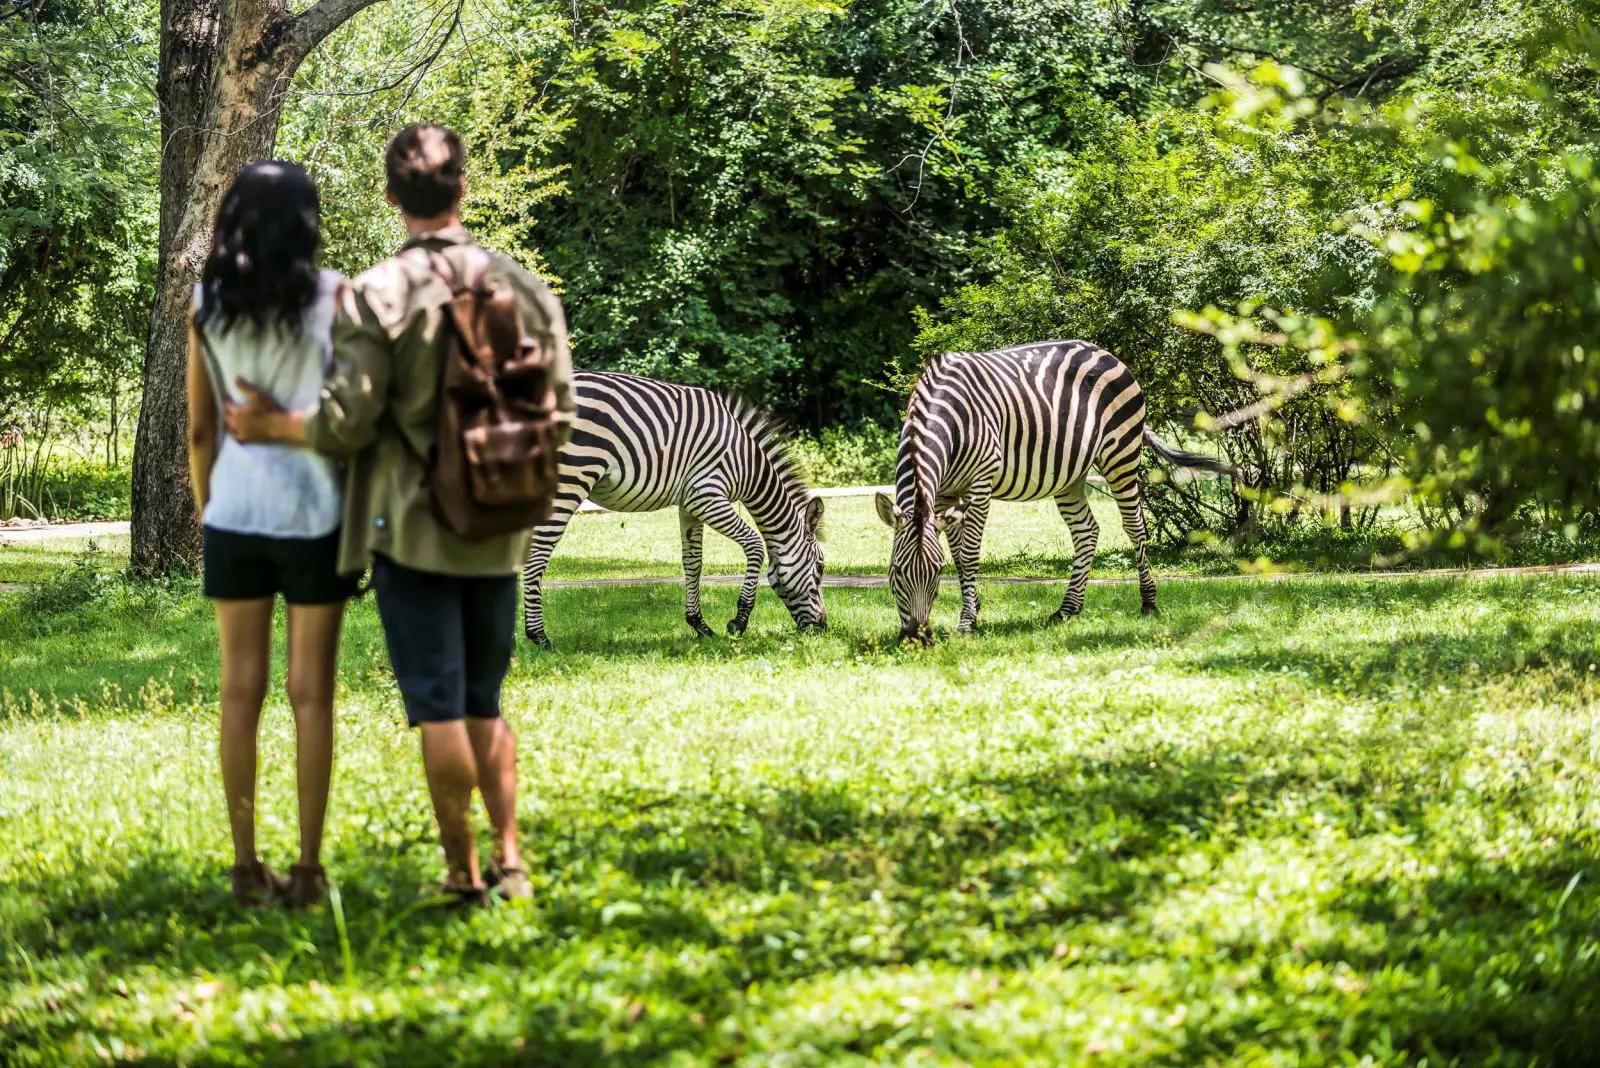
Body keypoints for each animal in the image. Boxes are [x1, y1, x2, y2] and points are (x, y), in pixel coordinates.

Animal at [523, 371, 826, 647]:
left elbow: (693, 561)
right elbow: (754, 544)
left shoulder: (689, 504)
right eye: (821, 568)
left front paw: (700, 626)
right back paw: (539, 637)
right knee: (538, 553)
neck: (748, 465)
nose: (823, 627)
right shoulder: (706, 495)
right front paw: (739, 621)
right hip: (571, 476)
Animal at [875, 340, 1236, 643]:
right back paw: (1068, 609)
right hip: (1069, 475)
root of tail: (1105, 352)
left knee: (1135, 527)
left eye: (935, 574)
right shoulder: (947, 492)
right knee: (1087, 530)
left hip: (1121, 452)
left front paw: (966, 623)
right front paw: (974, 608)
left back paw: (1148, 603)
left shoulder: (980, 482)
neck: (945, 415)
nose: (916, 638)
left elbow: (969, 553)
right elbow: (959, 555)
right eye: (896, 571)